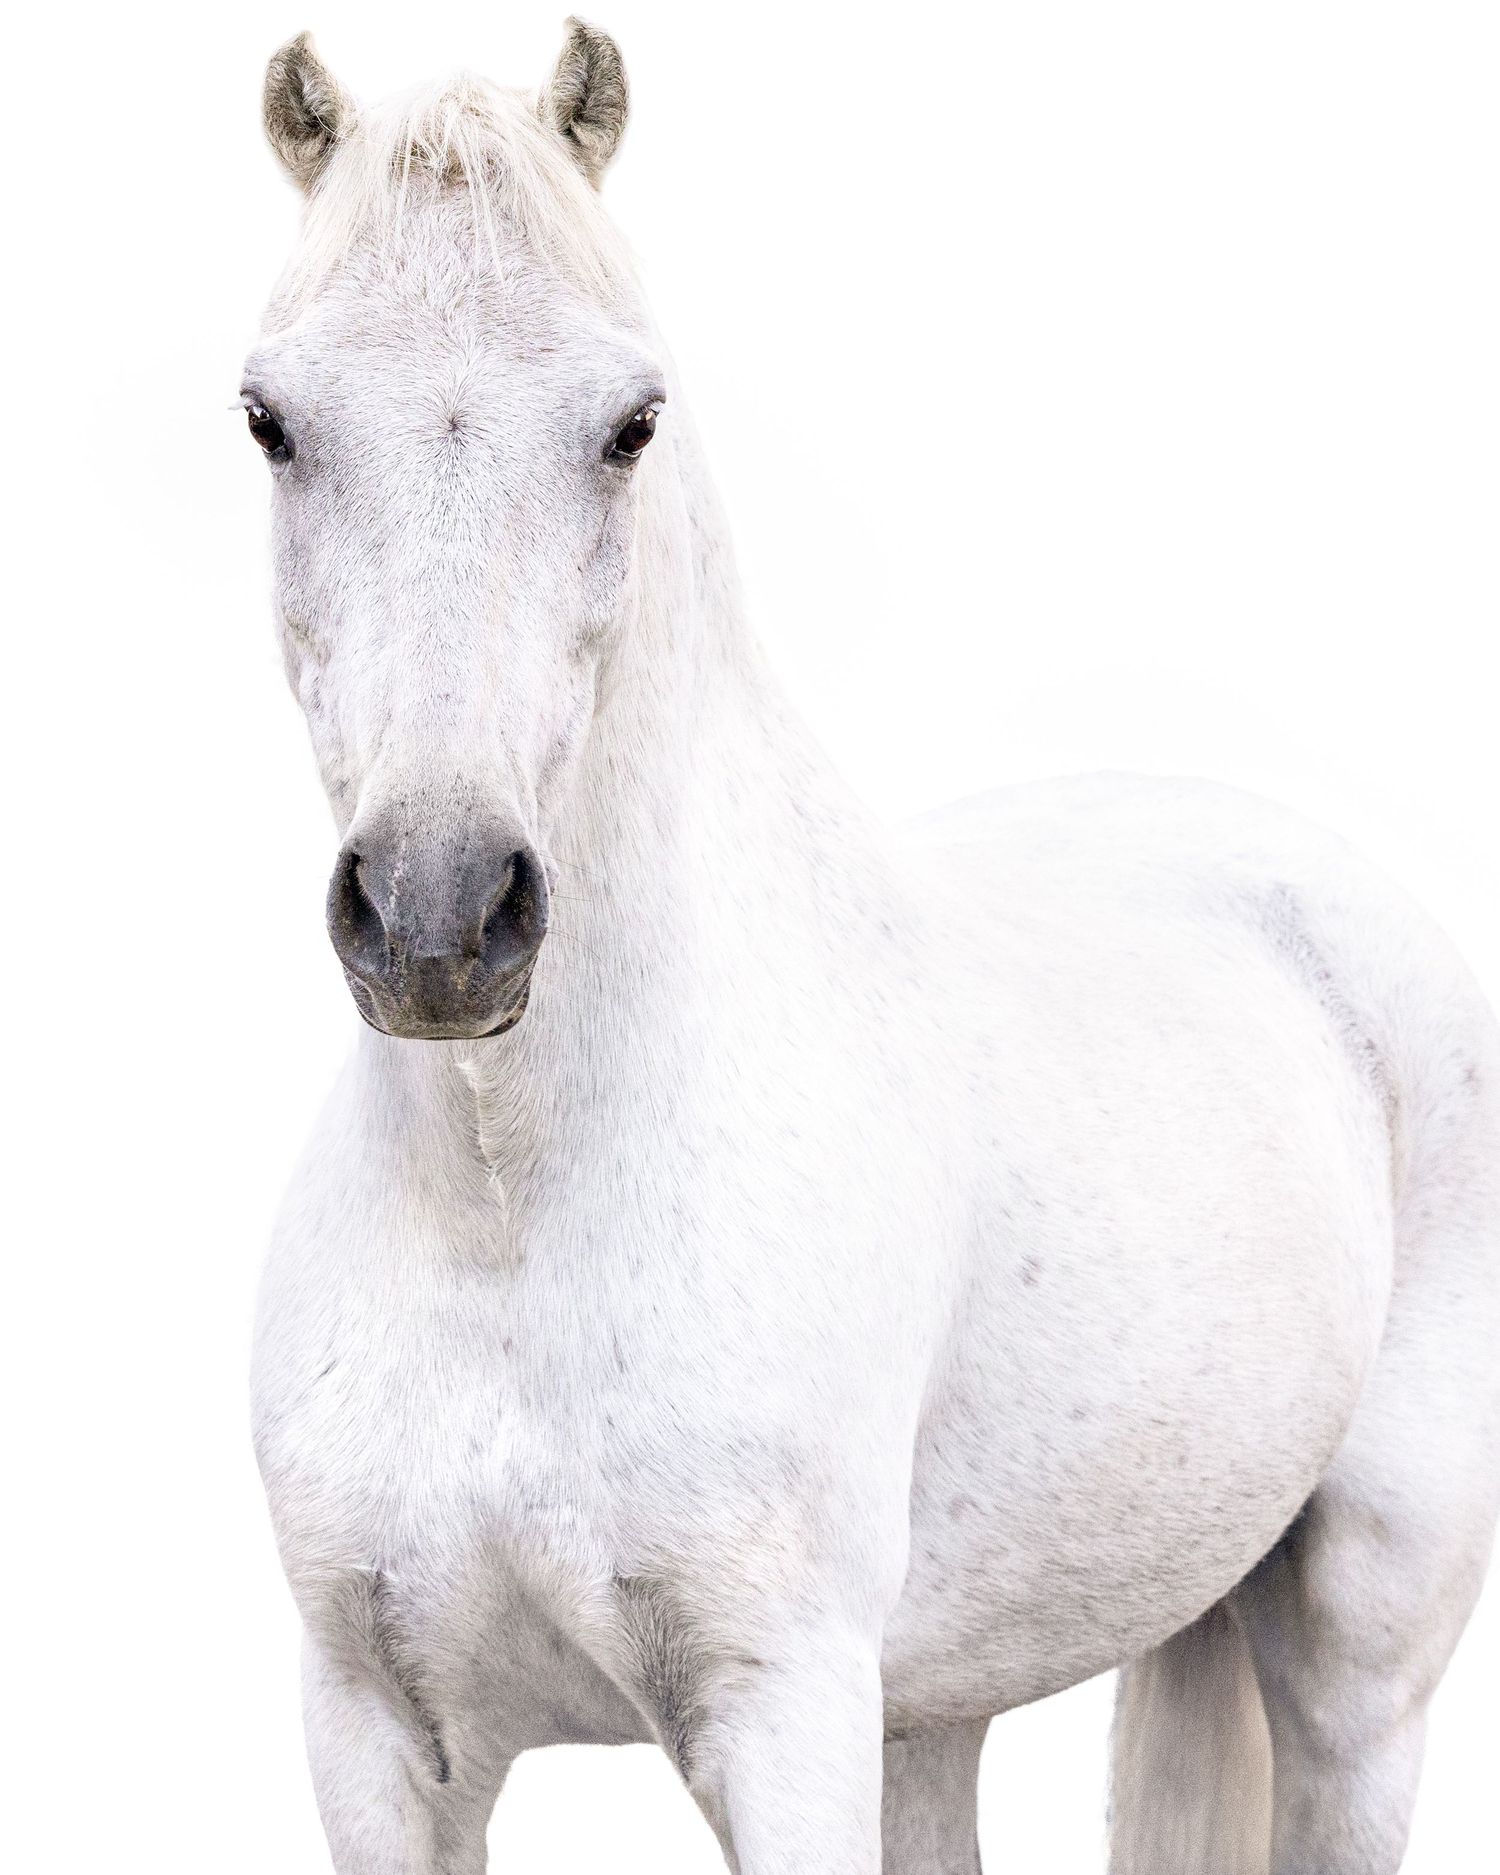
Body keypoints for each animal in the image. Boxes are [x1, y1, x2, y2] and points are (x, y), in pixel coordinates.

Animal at [244, 25, 1500, 1874]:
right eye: (270, 419)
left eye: (631, 421)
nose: (440, 914)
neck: (504, 1209)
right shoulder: (377, 1740)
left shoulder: (785, 1722)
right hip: (940, 1709)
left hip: (1360, 1668)